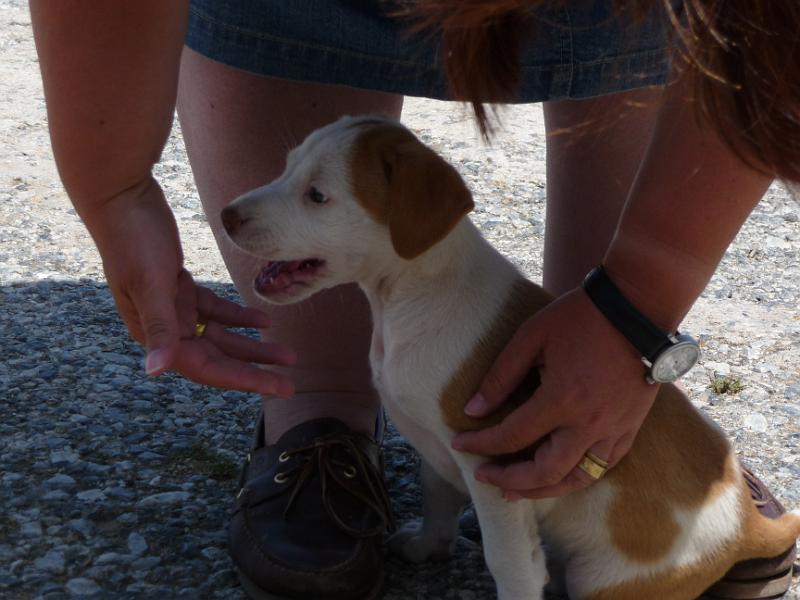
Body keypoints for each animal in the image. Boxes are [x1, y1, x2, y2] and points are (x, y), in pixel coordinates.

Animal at [220, 117, 800, 600]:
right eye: (286, 167)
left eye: (317, 195)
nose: (225, 215)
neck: (408, 294)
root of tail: (749, 524)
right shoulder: (438, 446)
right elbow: (435, 495)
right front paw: (428, 546)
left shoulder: (494, 472)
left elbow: (509, 562)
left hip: (605, 581)